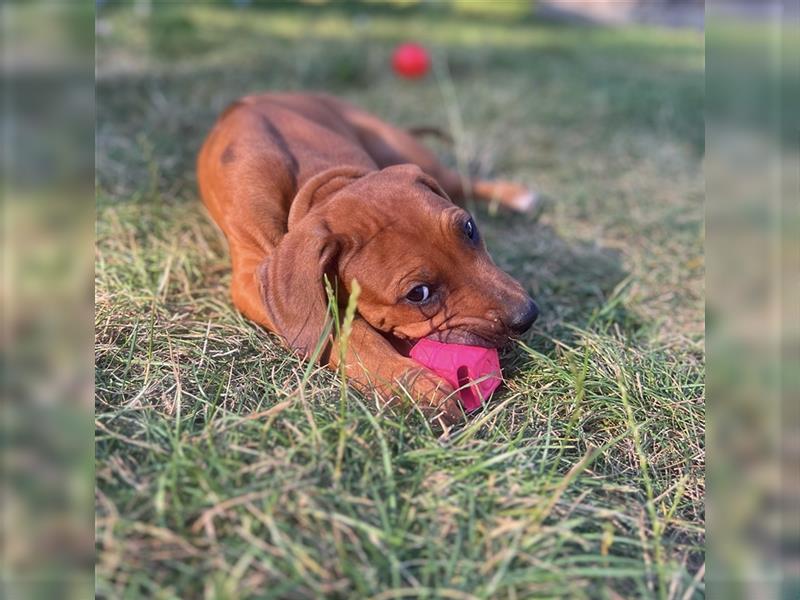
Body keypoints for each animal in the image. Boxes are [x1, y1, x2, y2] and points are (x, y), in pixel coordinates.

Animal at [197, 92, 540, 422]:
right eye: (419, 294)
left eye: (469, 228)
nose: (528, 315)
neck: (314, 184)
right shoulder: (249, 279)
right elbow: (347, 331)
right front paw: (410, 382)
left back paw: (516, 195)